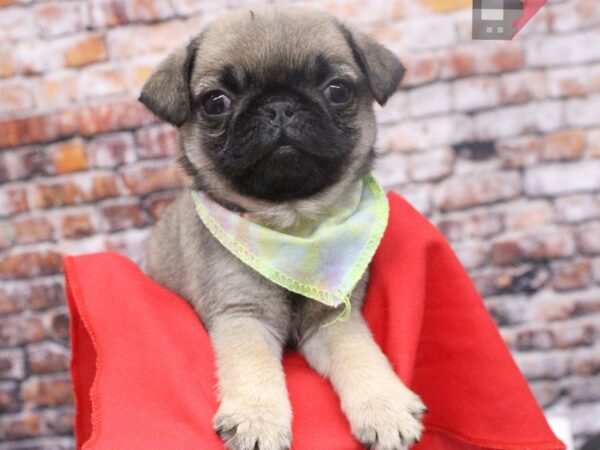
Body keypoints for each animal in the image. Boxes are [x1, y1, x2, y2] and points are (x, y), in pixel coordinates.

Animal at [142, 4, 426, 450]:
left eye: (337, 90)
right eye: (216, 102)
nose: (279, 106)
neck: (293, 224)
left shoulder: (332, 318)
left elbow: (360, 353)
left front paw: (385, 406)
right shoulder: (243, 314)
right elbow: (253, 366)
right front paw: (257, 421)